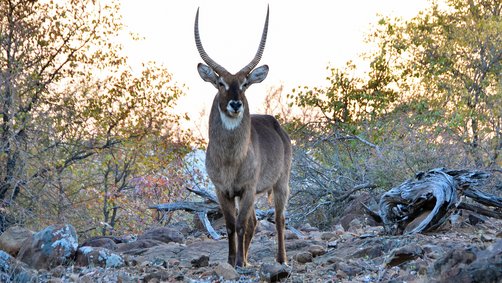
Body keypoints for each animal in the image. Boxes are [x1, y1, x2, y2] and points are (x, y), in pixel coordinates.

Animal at [194, 7, 292, 268]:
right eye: (220, 82)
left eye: (245, 83)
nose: (236, 104)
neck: (230, 159)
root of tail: (276, 125)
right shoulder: (222, 190)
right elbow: (230, 225)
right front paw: (232, 261)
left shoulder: (247, 189)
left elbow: (239, 225)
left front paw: (238, 261)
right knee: (254, 222)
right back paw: (247, 259)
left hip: (281, 183)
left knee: (279, 219)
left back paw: (280, 259)